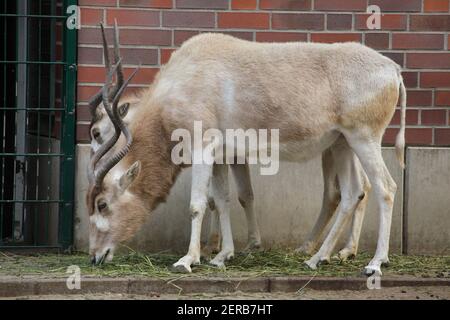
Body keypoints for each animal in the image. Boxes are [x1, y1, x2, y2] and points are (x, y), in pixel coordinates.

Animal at [86, 28, 406, 276]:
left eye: (102, 204)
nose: (95, 256)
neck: (186, 78)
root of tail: (392, 69)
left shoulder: (202, 147)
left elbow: (197, 204)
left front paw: (188, 260)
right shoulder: (220, 155)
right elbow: (223, 200)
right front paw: (221, 255)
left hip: (363, 138)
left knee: (385, 187)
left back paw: (374, 263)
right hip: (341, 144)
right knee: (353, 192)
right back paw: (317, 258)